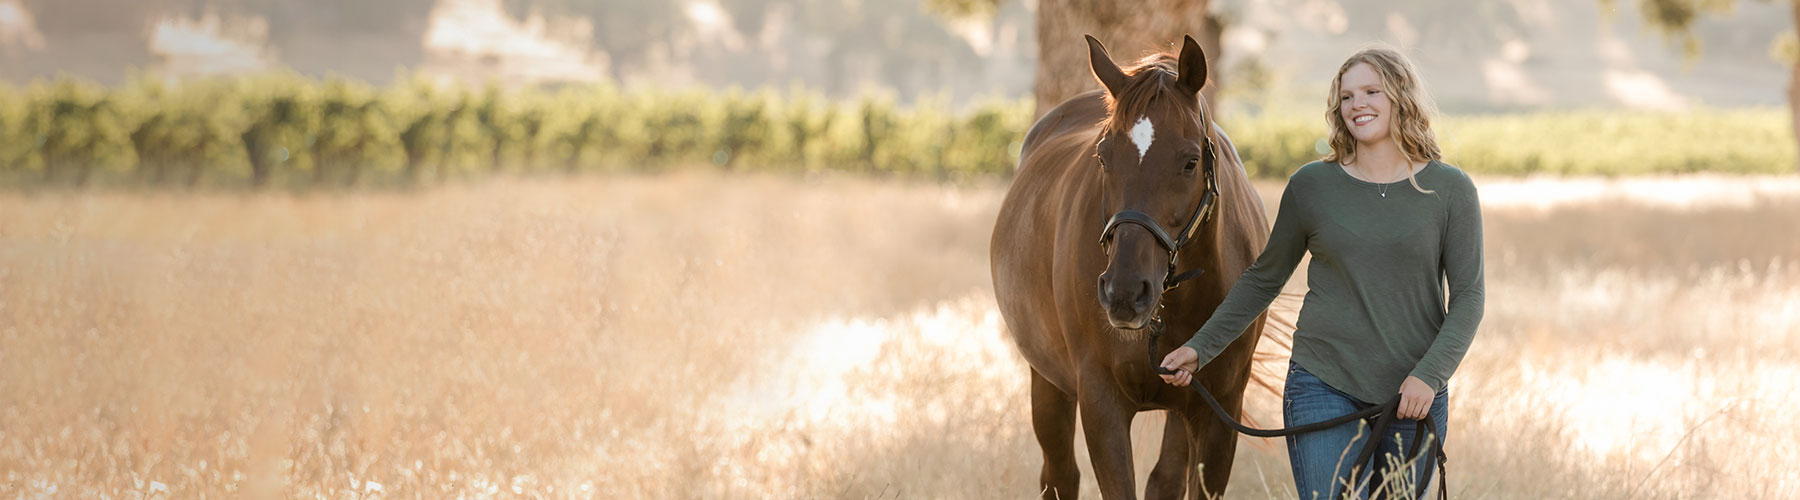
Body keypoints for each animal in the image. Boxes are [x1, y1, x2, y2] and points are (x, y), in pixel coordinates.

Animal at [993, 35, 1274, 500]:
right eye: (1103, 157)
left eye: (1190, 161)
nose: (1124, 293)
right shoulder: (1101, 401)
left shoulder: (1218, 408)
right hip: (1047, 383)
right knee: (1060, 475)